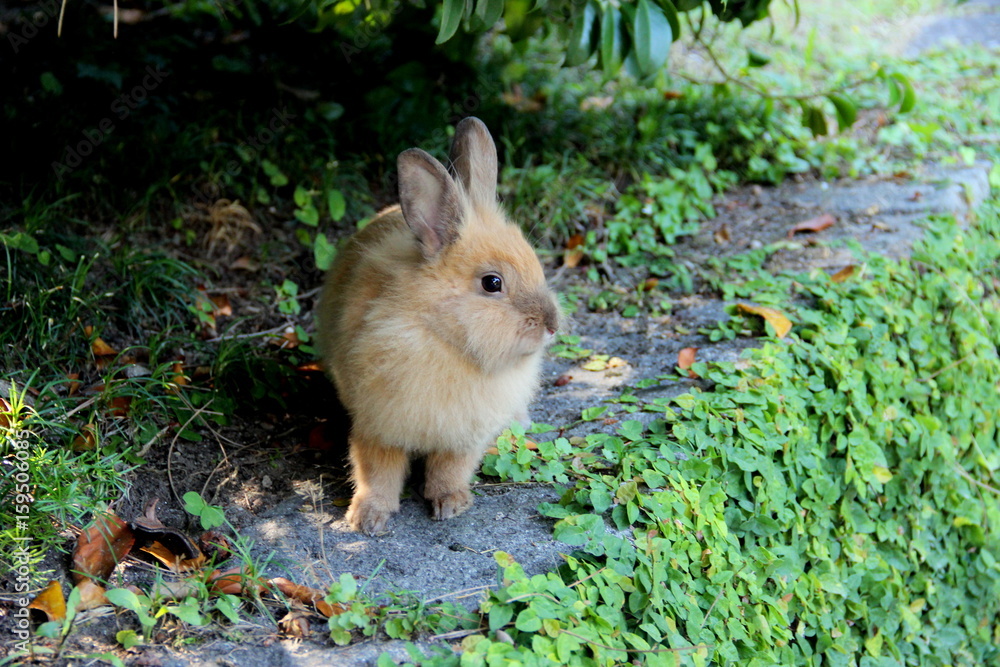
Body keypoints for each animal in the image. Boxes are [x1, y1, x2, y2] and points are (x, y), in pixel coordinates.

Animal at [316, 117, 560, 535]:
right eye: (492, 283)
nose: (552, 325)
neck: (446, 339)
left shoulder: (463, 436)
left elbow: (450, 469)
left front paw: (450, 504)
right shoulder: (379, 426)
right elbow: (376, 472)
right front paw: (368, 520)